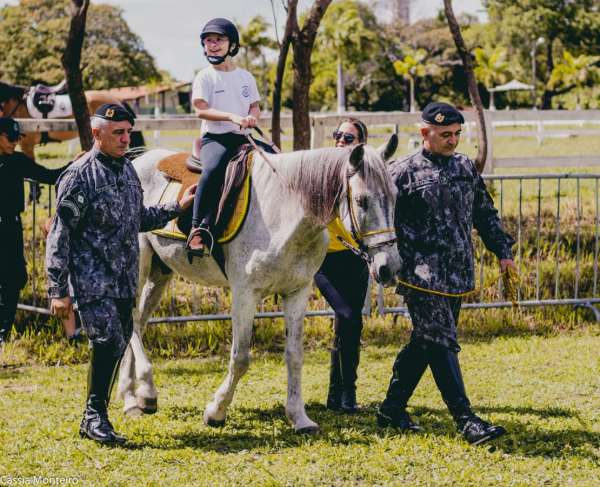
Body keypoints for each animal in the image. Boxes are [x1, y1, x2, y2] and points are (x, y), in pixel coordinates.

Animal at [116, 138, 398, 434]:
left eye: (394, 196)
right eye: (361, 200)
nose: (388, 268)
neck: (284, 214)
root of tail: (136, 161)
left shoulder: (296, 292)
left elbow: (295, 355)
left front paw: (299, 417)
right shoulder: (245, 294)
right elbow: (240, 358)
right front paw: (216, 411)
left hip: (160, 273)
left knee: (139, 321)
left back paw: (131, 397)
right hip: (138, 264)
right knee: (132, 320)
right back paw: (147, 391)